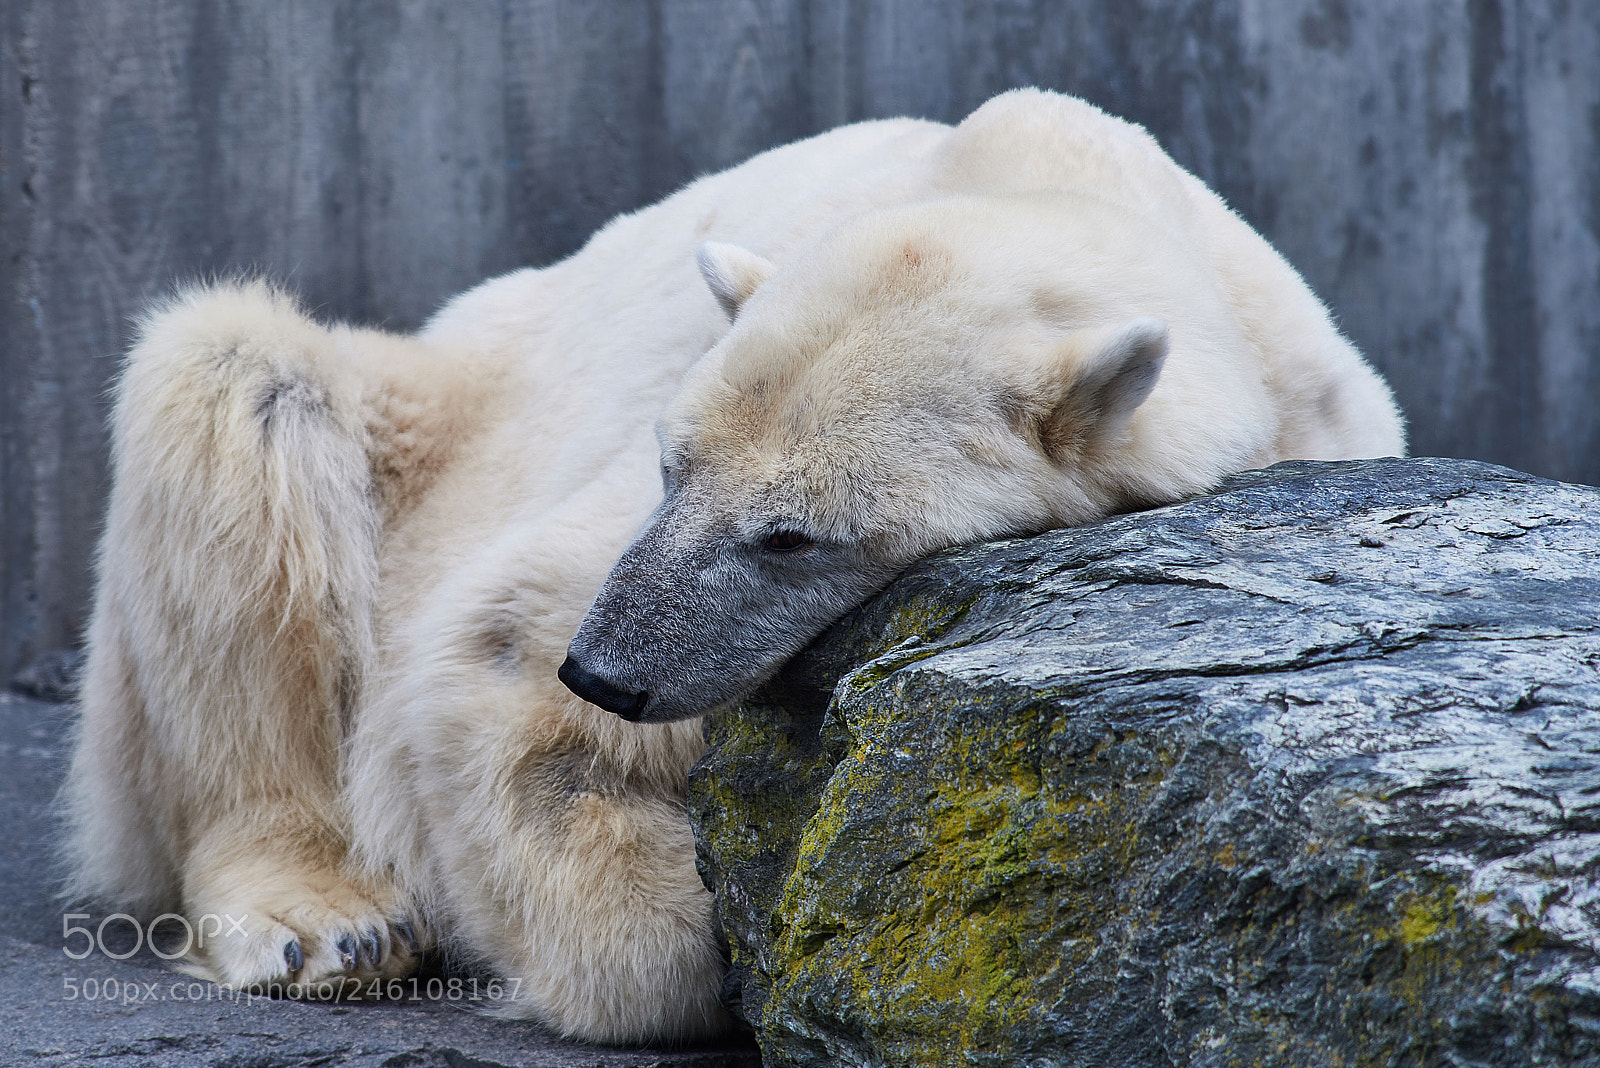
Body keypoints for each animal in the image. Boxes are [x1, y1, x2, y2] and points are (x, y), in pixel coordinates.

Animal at [63, 88, 1404, 1045]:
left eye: (791, 535)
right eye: (671, 465)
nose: (606, 672)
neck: (1070, 190)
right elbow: (490, 659)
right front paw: (693, 929)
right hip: (410, 415)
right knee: (233, 383)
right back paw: (321, 921)